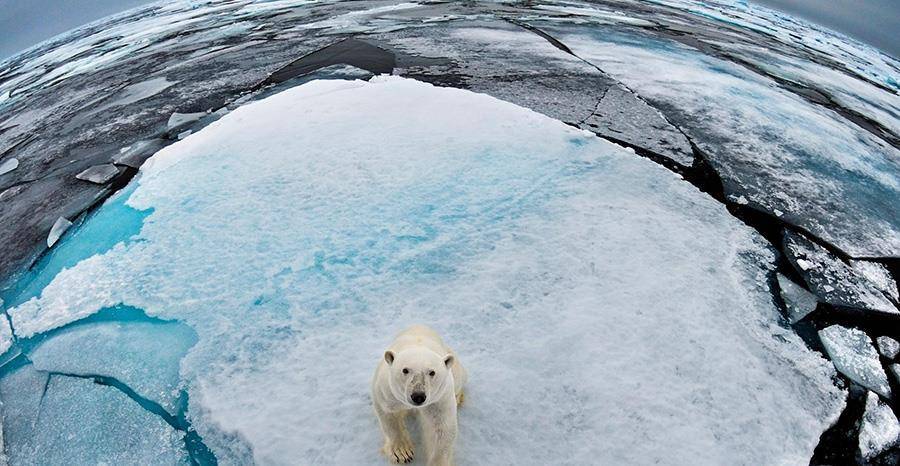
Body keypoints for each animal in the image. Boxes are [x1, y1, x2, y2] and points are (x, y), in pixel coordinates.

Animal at [372, 324, 472, 466]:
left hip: (454, 367)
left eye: (432, 372)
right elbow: (389, 416)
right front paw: (402, 452)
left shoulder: (439, 398)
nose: (418, 396)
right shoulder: (388, 391)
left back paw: (458, 398)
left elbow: (440, 427)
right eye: (405, 370)